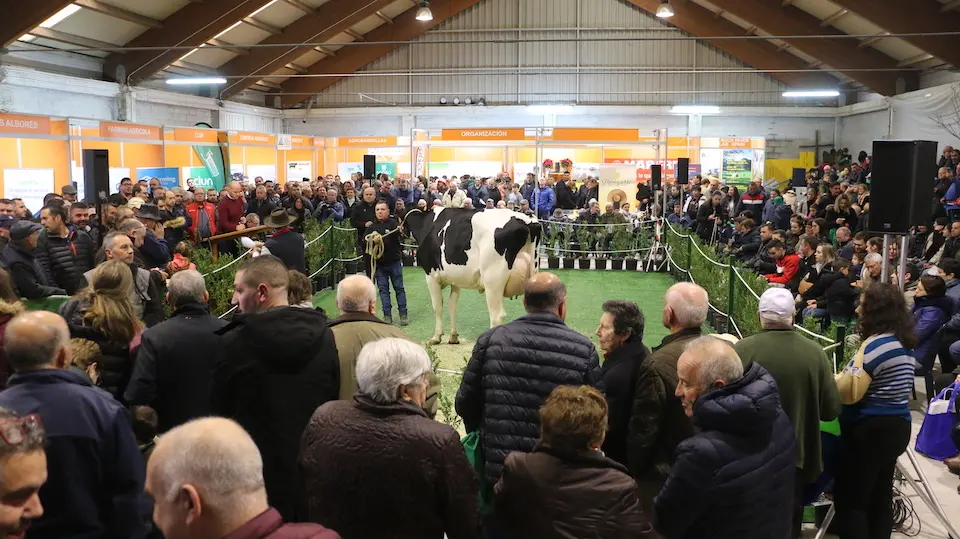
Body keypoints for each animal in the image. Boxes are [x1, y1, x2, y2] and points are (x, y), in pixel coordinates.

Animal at [404, 207, 544, 346]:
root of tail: (527, 220)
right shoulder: (455, 280)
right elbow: (452, 306)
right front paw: (453, 337)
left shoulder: (431, 275)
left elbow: (437, 306)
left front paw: (436, 337)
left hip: (493, 280)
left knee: (497, 316)